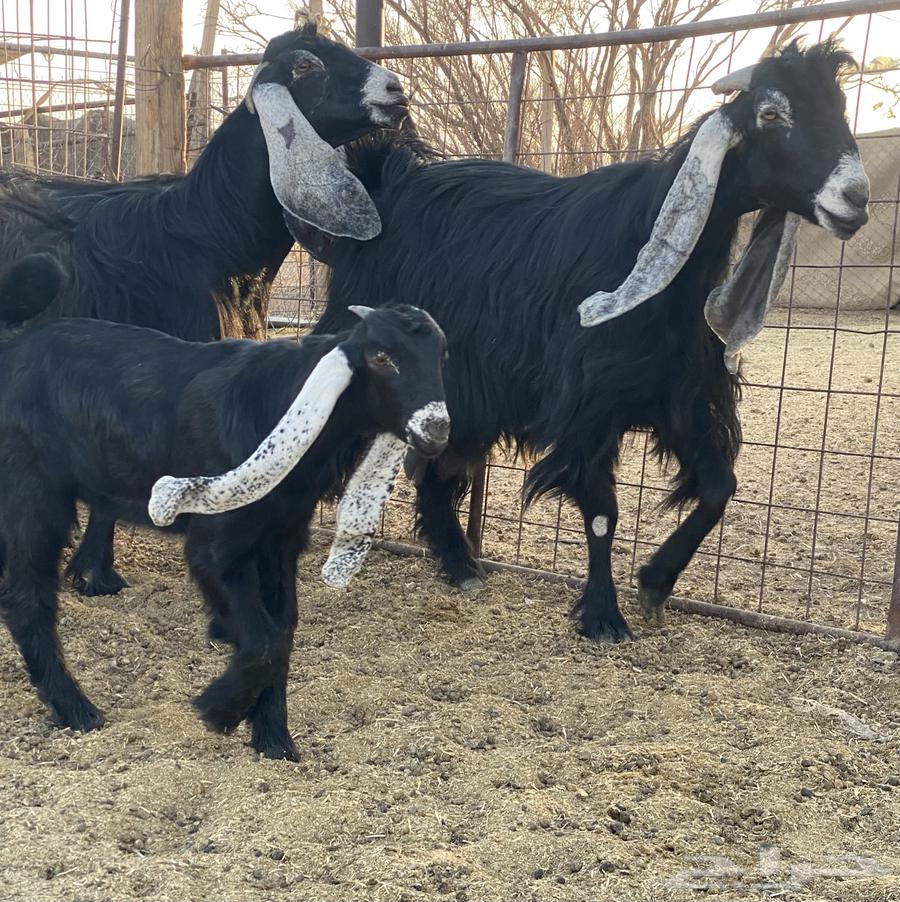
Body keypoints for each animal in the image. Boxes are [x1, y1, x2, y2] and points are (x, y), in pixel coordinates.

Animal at [0, 265, 448, 759]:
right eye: (381, 356)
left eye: (442, 354)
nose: (437, 430)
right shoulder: (216, 544)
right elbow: (264, 639)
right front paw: (217, 709)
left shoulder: (280, 538)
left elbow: (282, 632)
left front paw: (274, 739)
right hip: (31, 490)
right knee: (26, 598)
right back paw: (76, 709)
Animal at [313, 41, 870, 642]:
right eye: (770, 114)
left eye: (841, 106)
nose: (857, 199)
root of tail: (381, 184)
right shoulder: (590, 404)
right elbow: (603, 511)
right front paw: (604, 616)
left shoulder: (677, 395)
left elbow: (719, 487)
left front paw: (655, 582)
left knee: (439, 468)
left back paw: (461, 566)